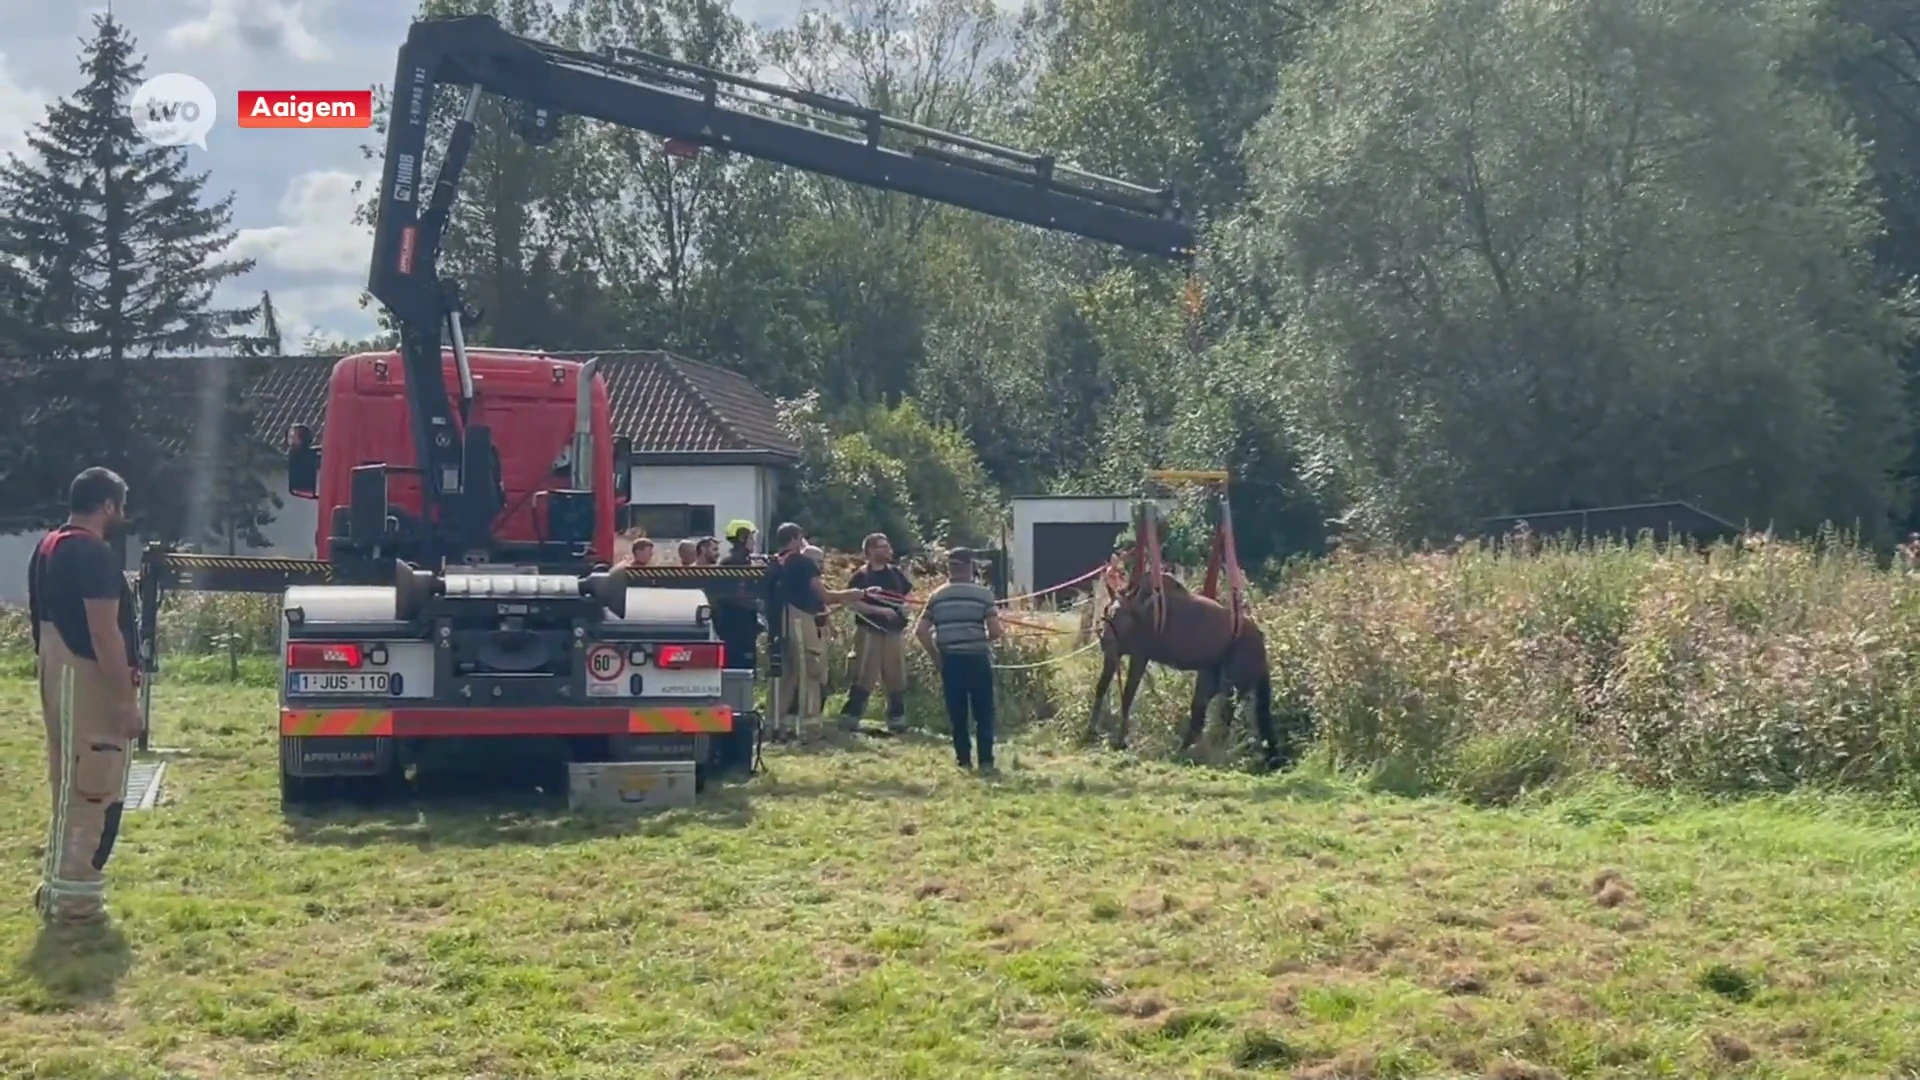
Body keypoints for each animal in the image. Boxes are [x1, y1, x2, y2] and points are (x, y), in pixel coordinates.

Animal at [1082, 576, 1290, 760]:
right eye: (1107, 611)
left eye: (1119, 615)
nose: (1104, 640)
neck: (1144, 612)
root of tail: (1261, 645)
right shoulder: (1113, 655)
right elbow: (1101, 688)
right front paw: (1090, 733)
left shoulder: (1139, 656)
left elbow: (1127, 697)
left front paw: (1120, 742)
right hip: (1209, 683)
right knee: (1199, 717)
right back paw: (1182, 752)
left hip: (1232, 688)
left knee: (1223, 721)